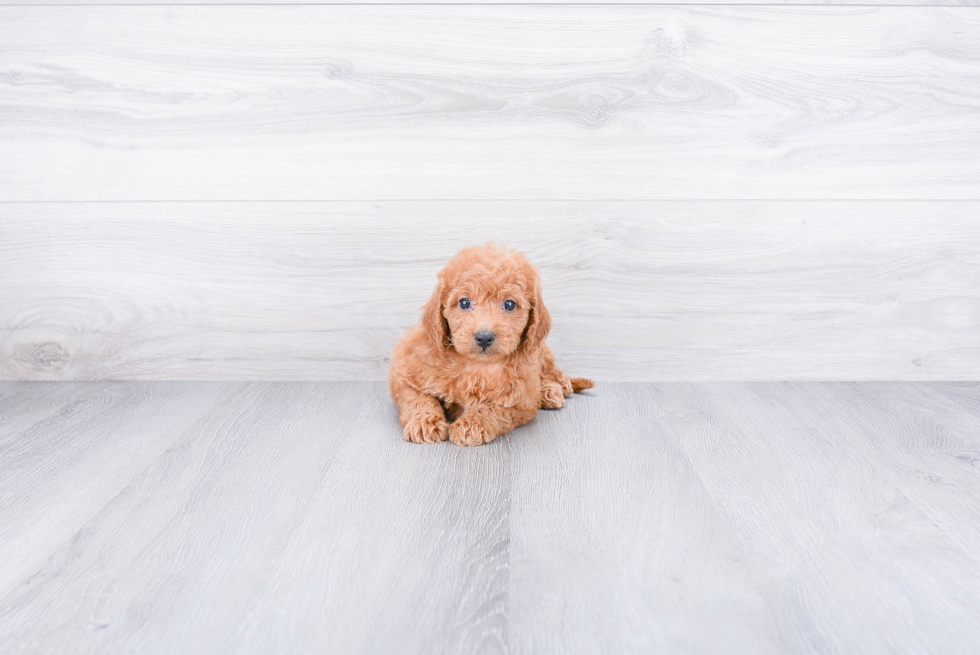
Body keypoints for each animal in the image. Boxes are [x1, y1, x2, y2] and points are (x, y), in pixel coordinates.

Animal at [388, 243, 588, 448]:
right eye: (464, 302)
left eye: (509, 304)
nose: (484, 337)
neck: (477, 365)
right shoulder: (406, 373)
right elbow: (419, 398)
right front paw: (425, 423)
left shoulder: (522, 401)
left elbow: (493, 408)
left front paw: (470, 425)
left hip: (539, 350)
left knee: (551, 371)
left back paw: (553, 390)